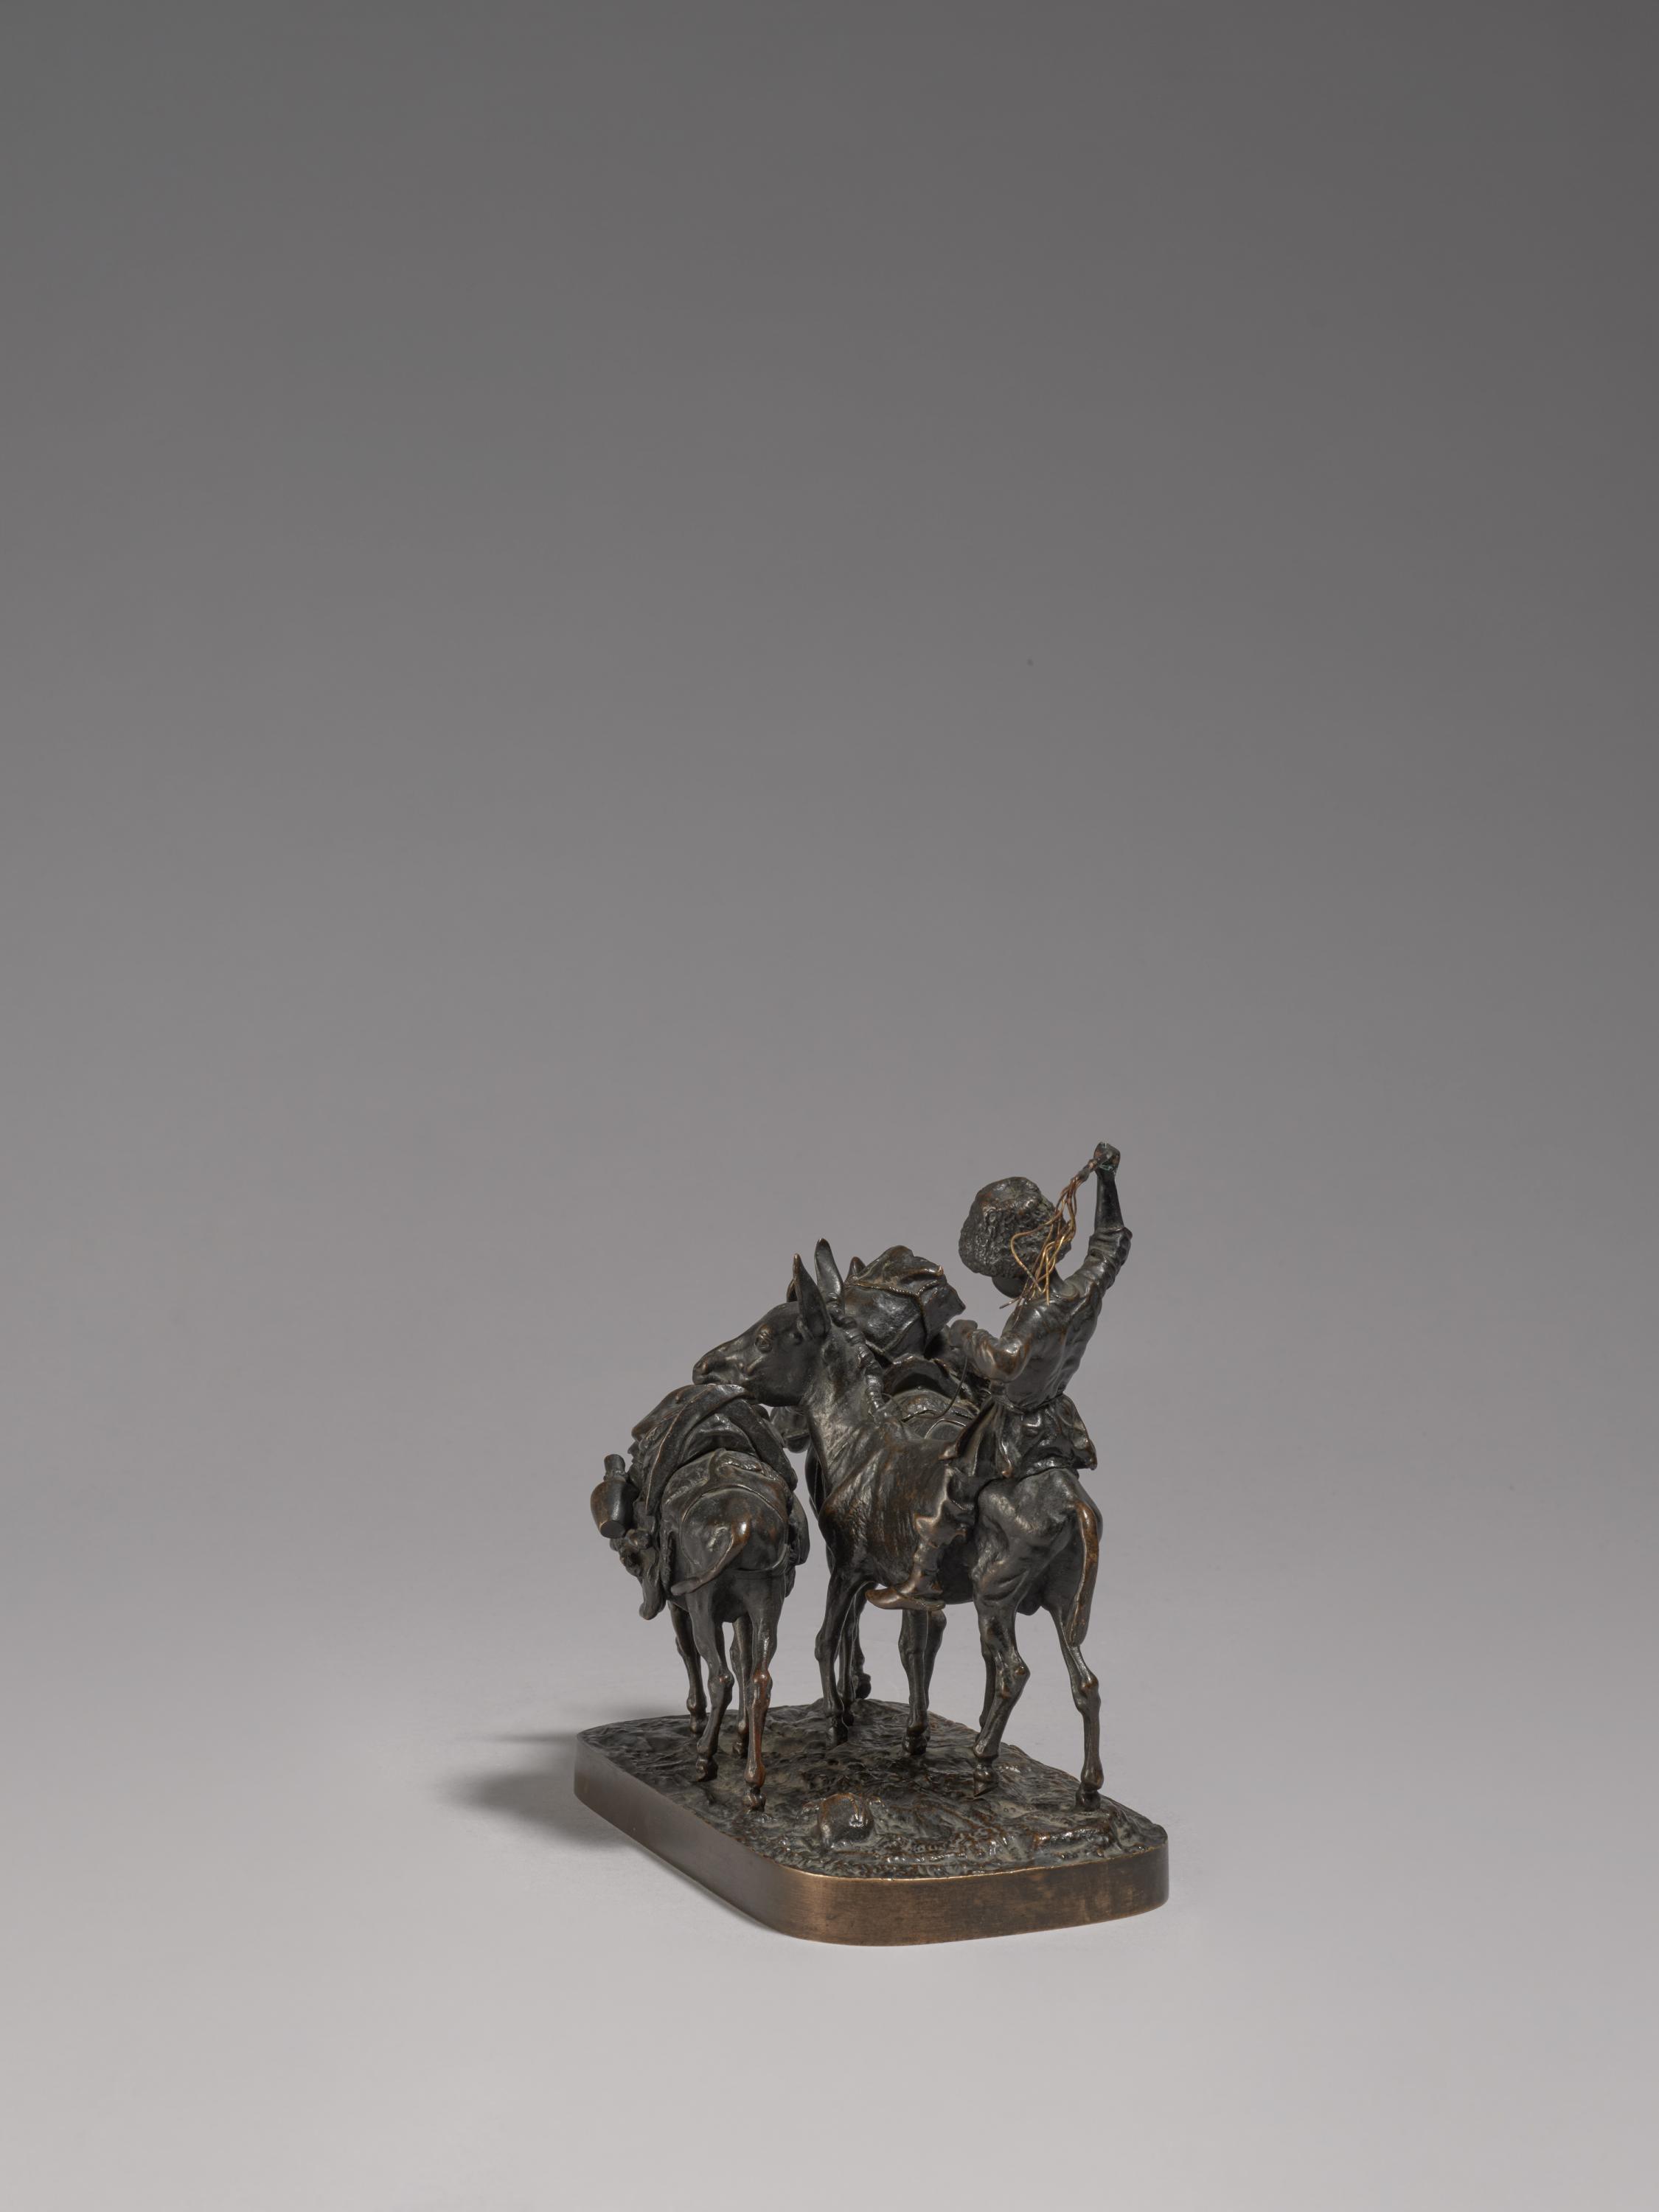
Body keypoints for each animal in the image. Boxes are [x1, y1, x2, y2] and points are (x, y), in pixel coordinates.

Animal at [694, 1245, 1106, 1806]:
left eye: (765, 1336)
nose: (704, 1367)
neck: (859, 1444)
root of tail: (1070, 1501)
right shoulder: (890, 1585)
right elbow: (900, 1648)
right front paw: (901, 1732)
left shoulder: (848, 1569)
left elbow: (827, 1639)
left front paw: (837, 1724)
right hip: (1063, 1606)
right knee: (1085, 1684)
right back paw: (1087, 1789)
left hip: (995, 1598)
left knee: (1013, 1673)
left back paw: (983, 1761)